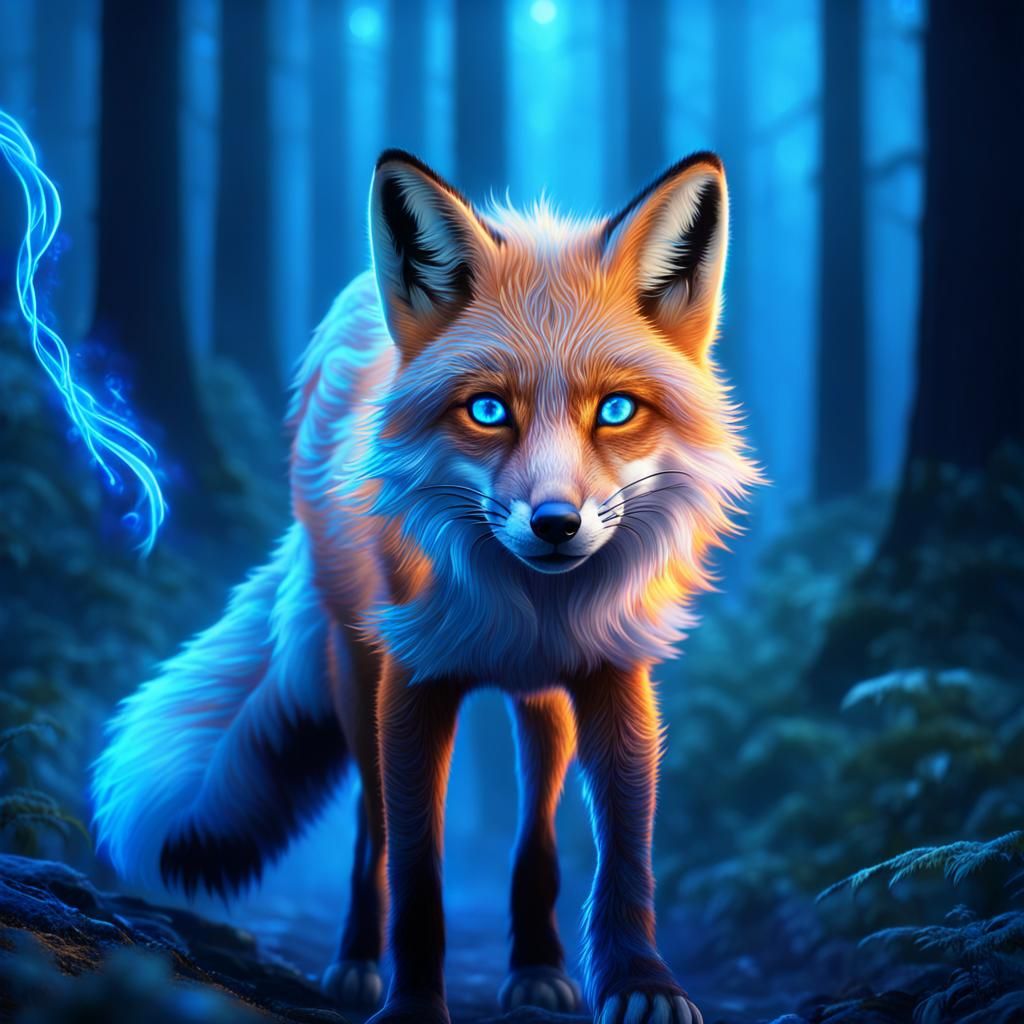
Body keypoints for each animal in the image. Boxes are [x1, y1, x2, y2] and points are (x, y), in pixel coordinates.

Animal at [92, 149, 759, 1024]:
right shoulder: (413, 684)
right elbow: (416, 872)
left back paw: (537, 968)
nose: (555, 524)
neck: (528, 609)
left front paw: (642, 984)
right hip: (355, 671)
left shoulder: (614, 672)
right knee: (370, 831)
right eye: (488, 411)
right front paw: (412, 1003)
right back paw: (355, 961)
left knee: (536, 835)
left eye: (616, 411)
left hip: (542, 705)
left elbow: (624, 856)